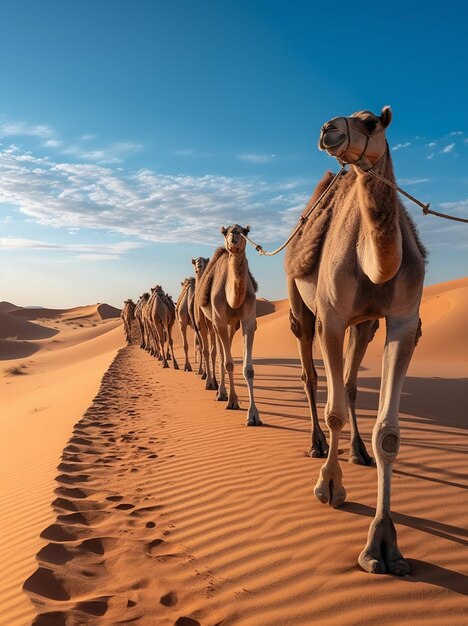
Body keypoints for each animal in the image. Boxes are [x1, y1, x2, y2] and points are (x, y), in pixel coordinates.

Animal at [196, 224, 262, 424]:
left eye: (245, 231)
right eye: (226, 232)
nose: (234, 233)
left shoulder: (248, 320)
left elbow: (248, 369)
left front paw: (253, 415)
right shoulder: (219, 319)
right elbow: (229, 363)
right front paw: (232, 401)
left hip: (231, 325)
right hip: (211, 322)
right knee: (216, 352)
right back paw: (219, 391)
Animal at [284, 105, 426, 572]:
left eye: (371, 122)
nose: (327, 128)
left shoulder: (403, 321)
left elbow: (390, 434)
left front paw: (382, 544)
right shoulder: (331, 318)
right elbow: (334, 413)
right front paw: (329, 487)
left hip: (363, 324)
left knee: (347, 384)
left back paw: (358, 451)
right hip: (302, 305)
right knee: (311, 376)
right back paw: (316, 445)